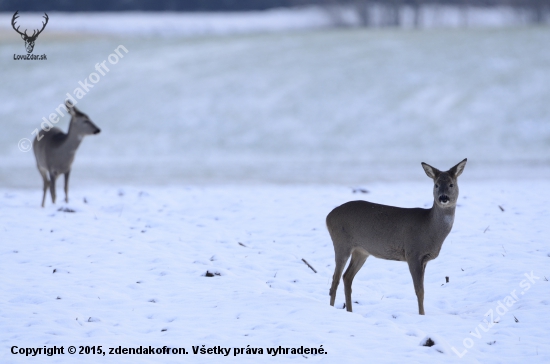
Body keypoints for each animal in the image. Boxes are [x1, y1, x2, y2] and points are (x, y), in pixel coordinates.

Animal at [330, 159, 468, 316]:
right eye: (436, 184)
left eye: (451, 184)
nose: (443, 198)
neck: (429, 227)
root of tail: (328, 217)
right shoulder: (412, 253)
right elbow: (419, 290)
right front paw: (422, 315)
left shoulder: (424, 259)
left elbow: (422, 289)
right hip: (341, 243)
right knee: (335, 279)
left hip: (361, 251)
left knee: (347, 277)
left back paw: (350, 311)